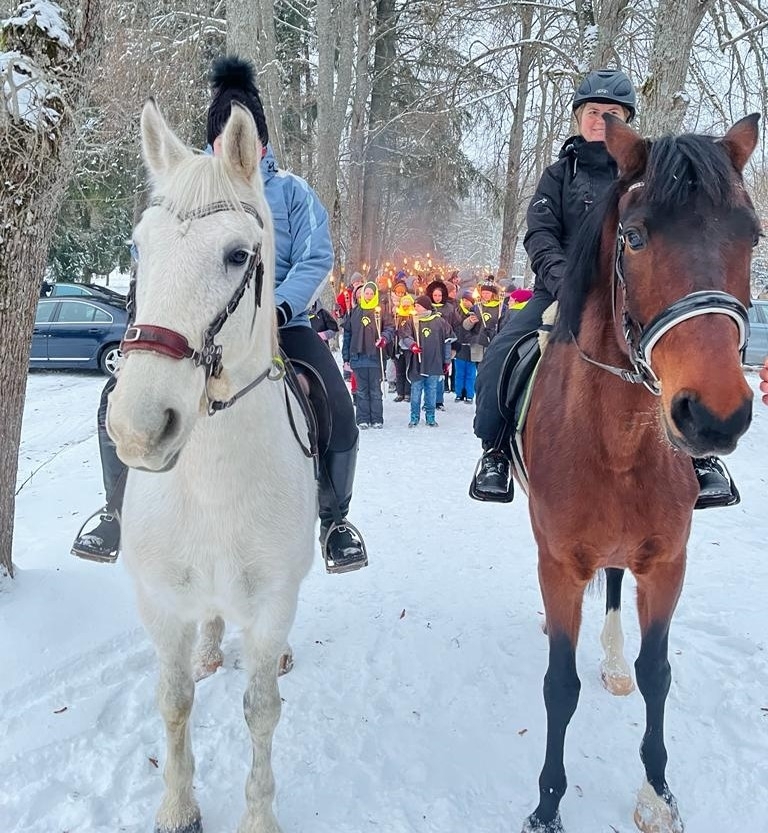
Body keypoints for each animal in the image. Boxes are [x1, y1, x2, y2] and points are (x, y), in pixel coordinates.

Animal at [105, 99, 316, 832]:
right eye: (140, 248)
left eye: (236, 255)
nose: (139, 427)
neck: (213, 488)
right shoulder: (160, 601)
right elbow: (172, 703)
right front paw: (178, 808)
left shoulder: (274, 601)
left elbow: (262, 710)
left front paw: (258, 818)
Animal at [520, 115, 760, 832]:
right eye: (634, 236)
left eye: (751, 235)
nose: (713, 414)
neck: (620, 441)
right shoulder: (559, 564)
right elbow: (559, 684)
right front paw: (547, 805)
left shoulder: (667, 563)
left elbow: (658, 674)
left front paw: (656, 792)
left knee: (615, 581)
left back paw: (612, 656)